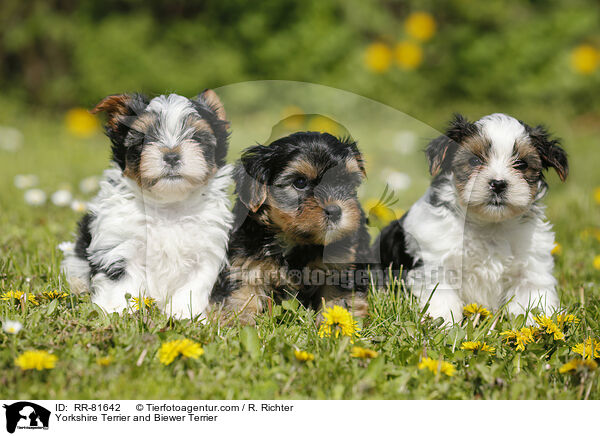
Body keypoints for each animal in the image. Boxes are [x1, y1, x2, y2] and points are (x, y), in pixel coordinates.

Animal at [58, 90, 232, 318]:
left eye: (196, 137)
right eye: (143, 139)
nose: (171, 156)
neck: (167, 205)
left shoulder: (206, 251)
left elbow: (193, 285)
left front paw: (184, 315)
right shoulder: (119, 244)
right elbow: (120, 281)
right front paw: (116, 311)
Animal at [211, 131, 370, 326]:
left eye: (346, 182)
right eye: (300, 182)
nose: (335, 211)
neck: (297, 241)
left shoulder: (342, 265)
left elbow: (338, 298)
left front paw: (336, 325)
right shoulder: (244, 260)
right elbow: (243, 293)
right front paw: (239, 323)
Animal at [376, 112, 568, 324]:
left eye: (522, 164)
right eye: (475, 161)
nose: (498, 184)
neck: (489, 224)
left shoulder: (532, 269)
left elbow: (534, 299)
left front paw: (543, 325)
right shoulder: (437, 263)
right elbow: (441, 297)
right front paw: (444, 324)